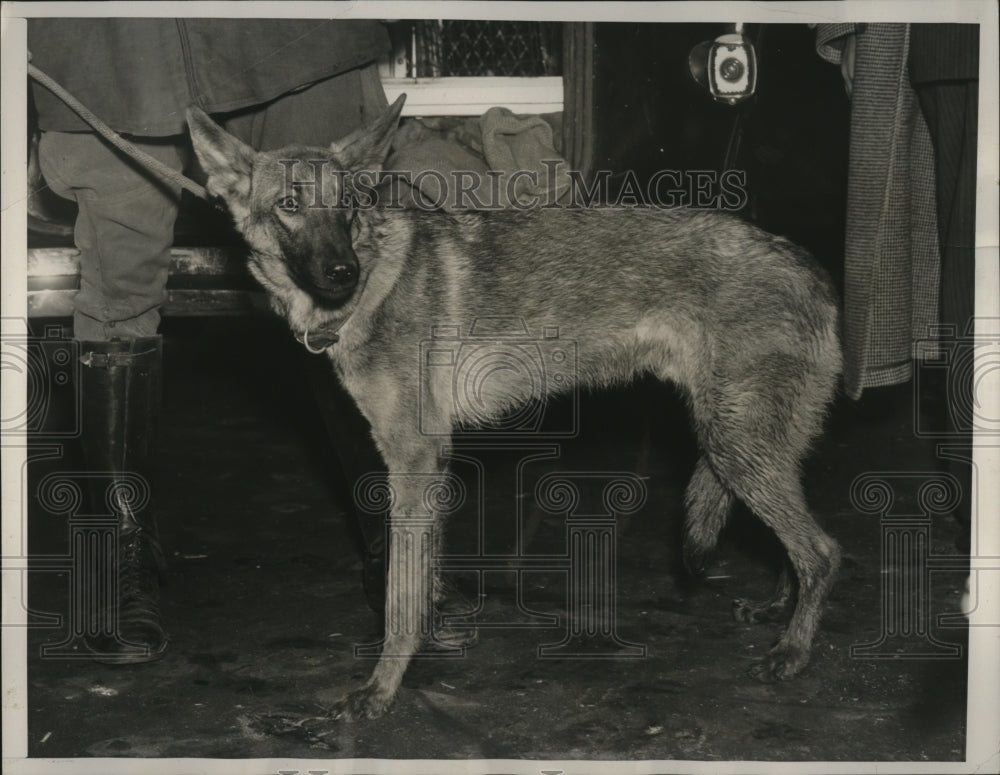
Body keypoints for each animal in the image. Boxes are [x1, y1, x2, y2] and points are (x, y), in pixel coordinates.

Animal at [188, 95, 844, 720]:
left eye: (347, 204)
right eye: (289, 204)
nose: (341, 272)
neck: (376, 279)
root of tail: (809, 270)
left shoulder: (414, 460)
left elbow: (401, 598)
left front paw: (380, 690)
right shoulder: (424, 465)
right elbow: (422, 580)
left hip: (733, 448)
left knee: (822, 552)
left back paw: (792, 653)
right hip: (750, 450)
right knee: (794, 546)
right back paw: (775, 608)